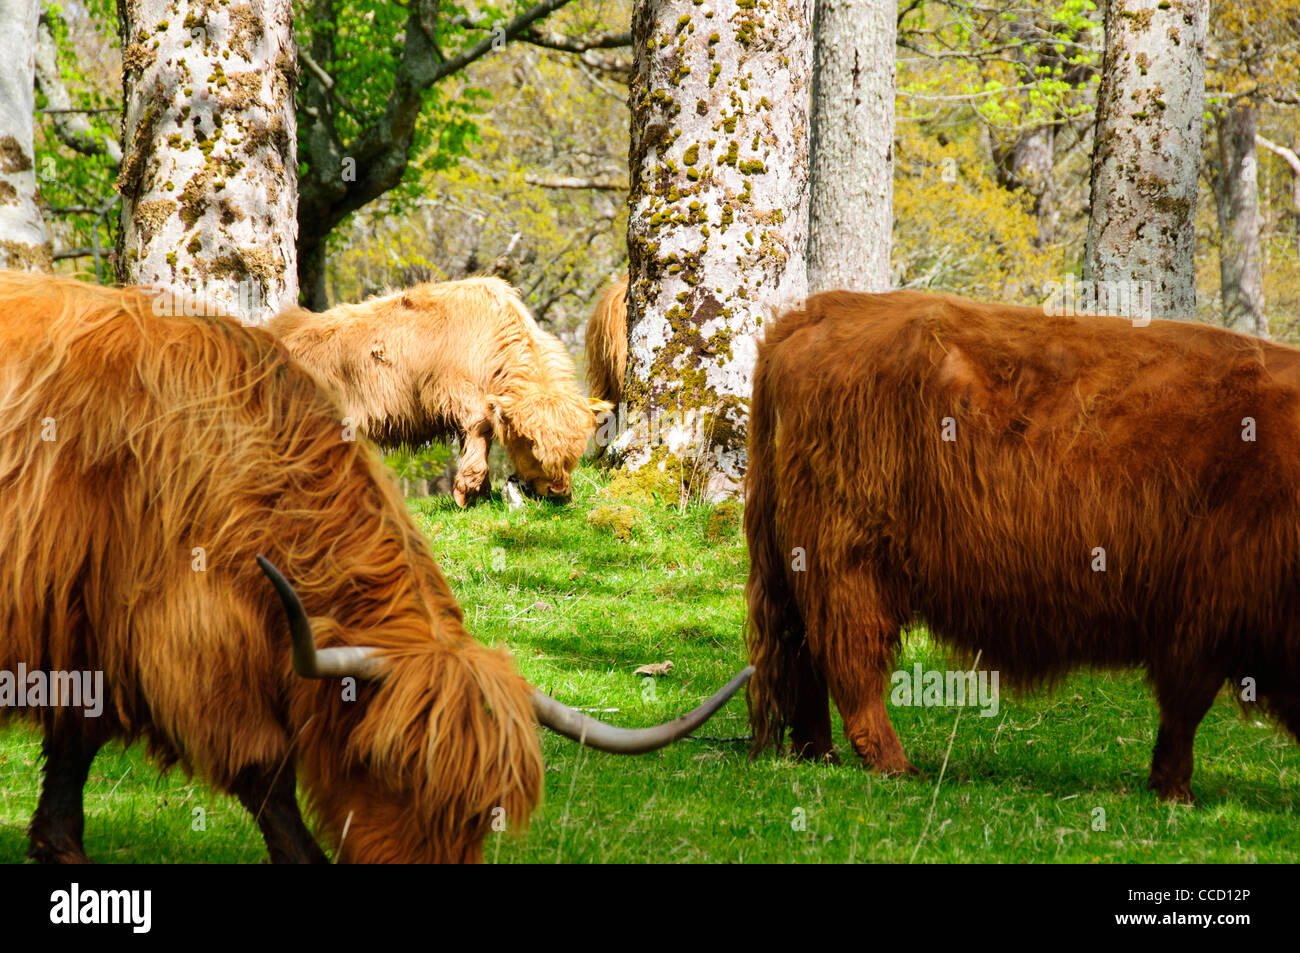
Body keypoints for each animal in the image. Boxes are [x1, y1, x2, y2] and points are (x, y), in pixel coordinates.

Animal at [269, 277, 606, 505]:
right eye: (530, 444)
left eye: (576, 448)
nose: (558, 491)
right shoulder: (453, 392)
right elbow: (481, 427)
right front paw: (466, 490)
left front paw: (481, 493)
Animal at [745, 288, 1300, 803]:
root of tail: (822, 309)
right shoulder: (1208, 611)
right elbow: (1185, 709)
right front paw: (1174, 790)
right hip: (849, 564)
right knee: (849, 662)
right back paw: (891, 764)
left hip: (801, 568)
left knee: (804, 655)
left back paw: (819, 754)